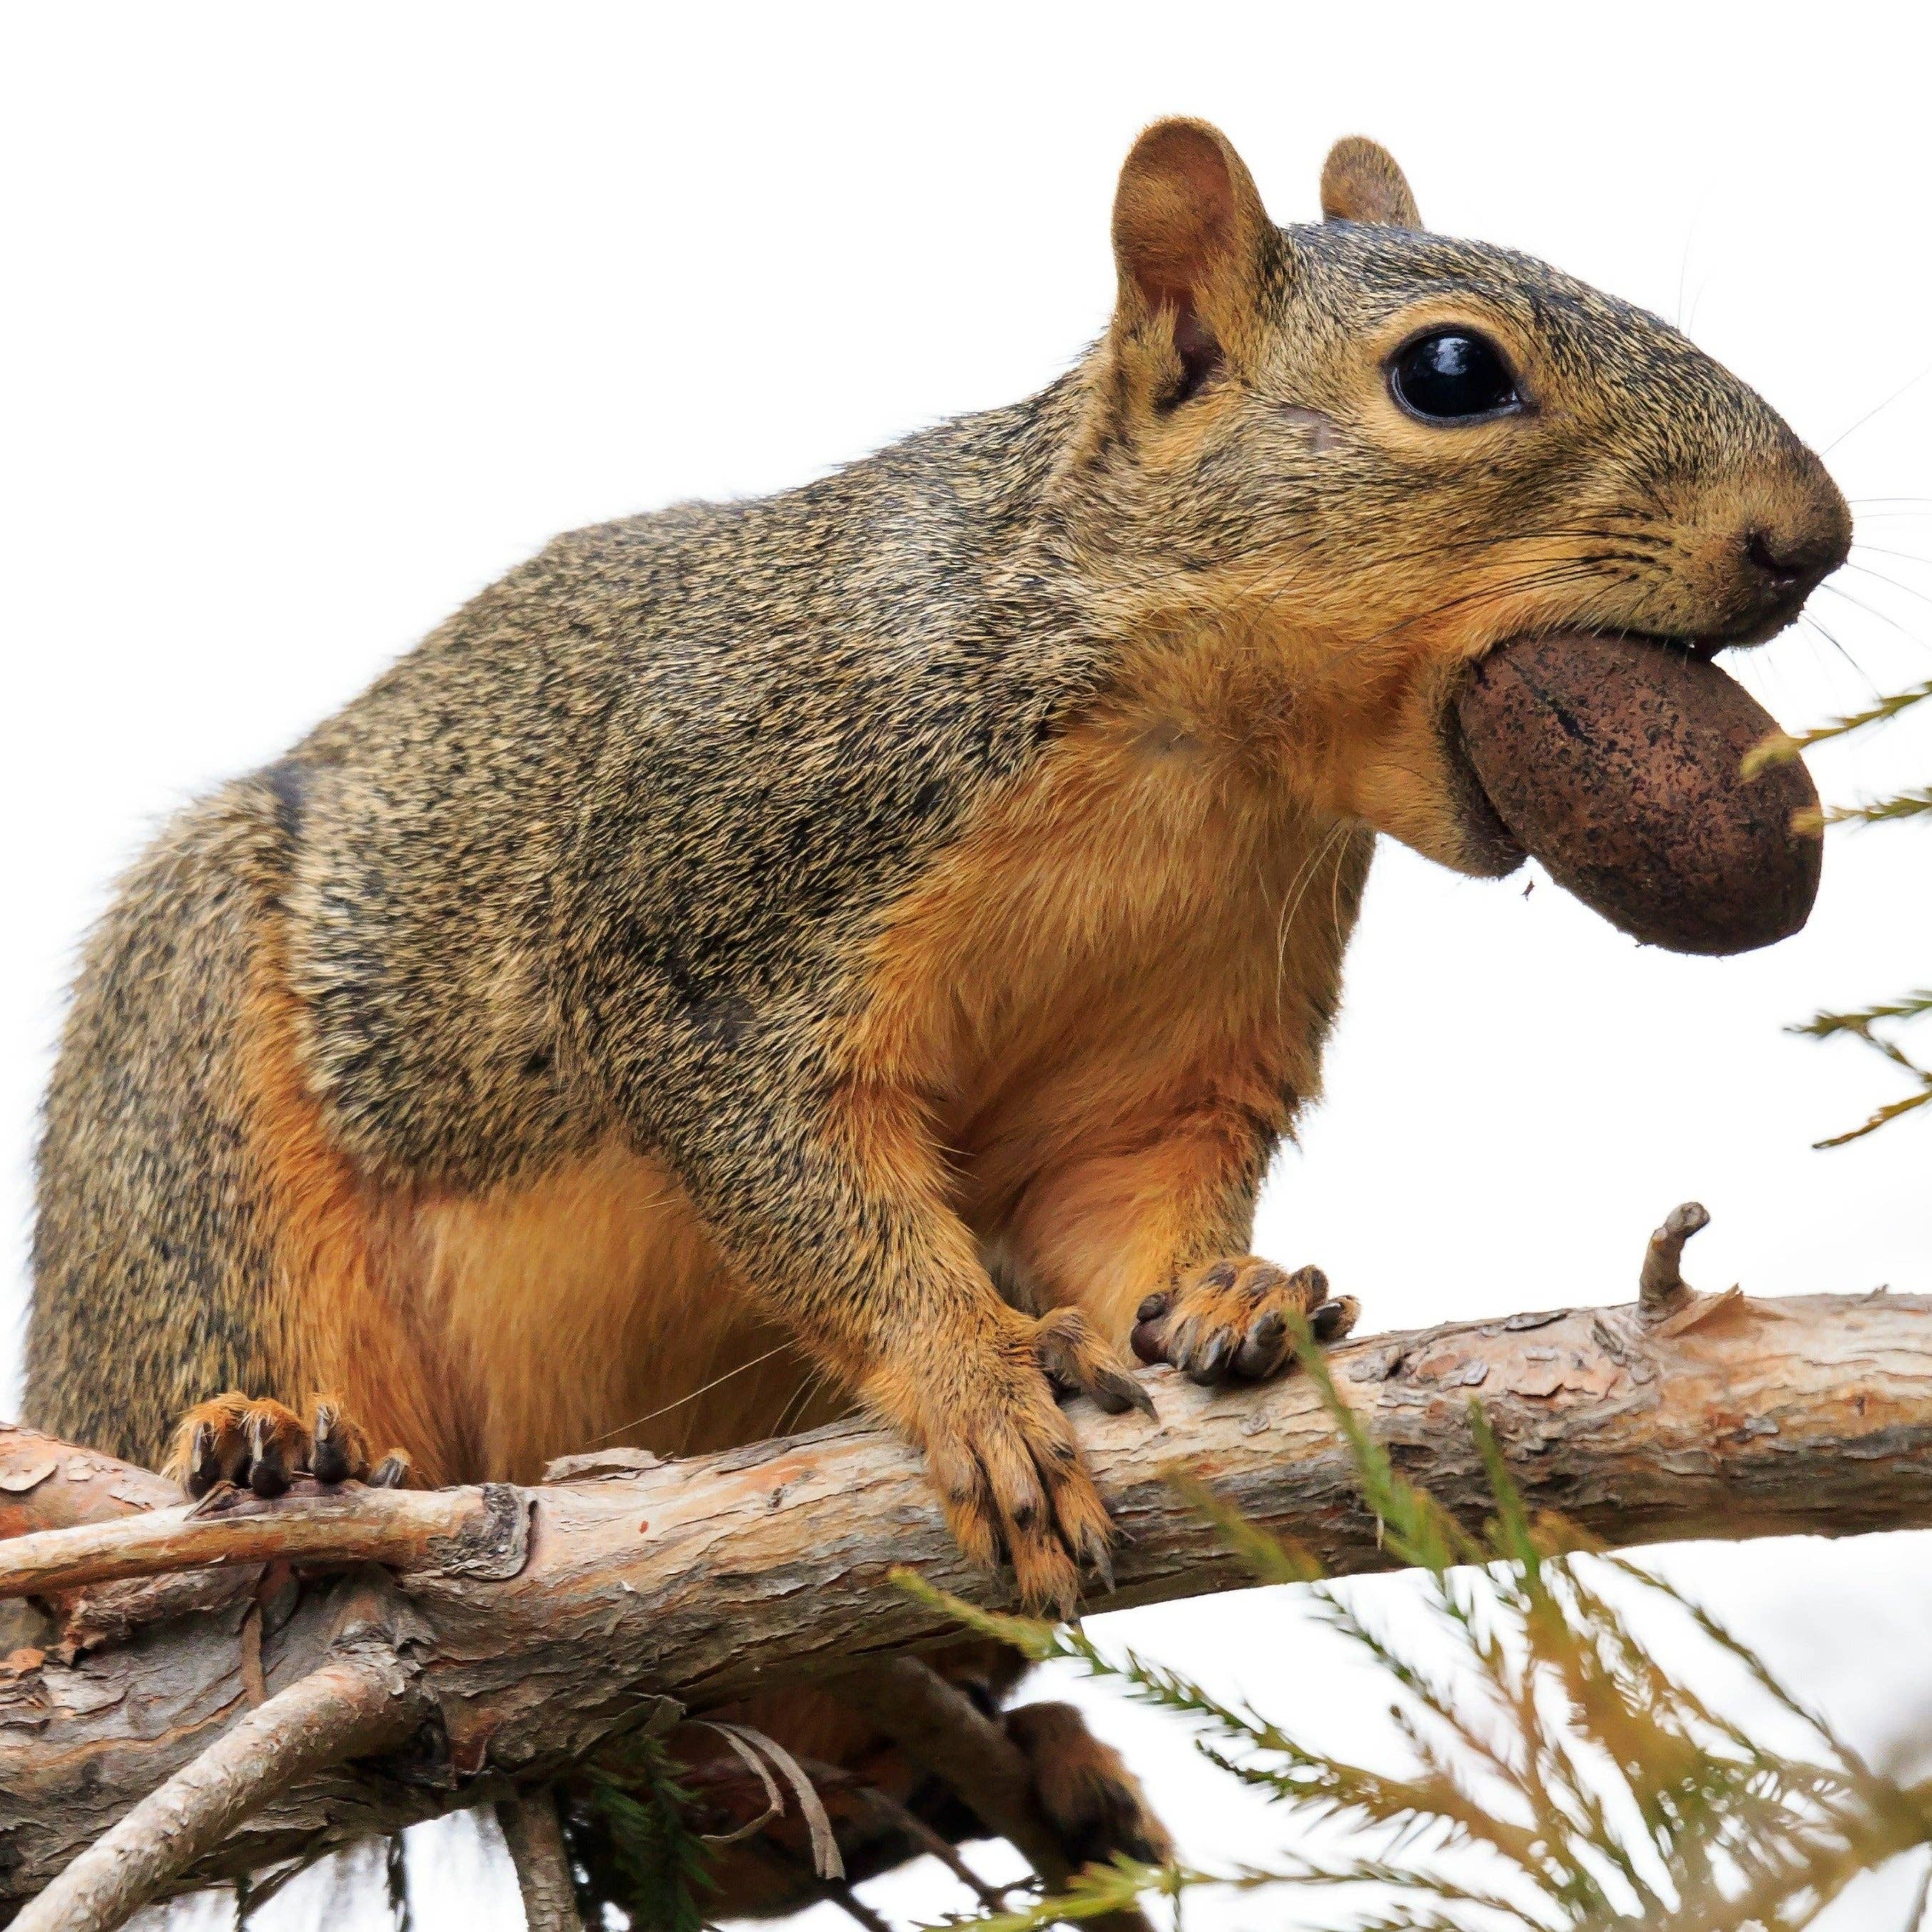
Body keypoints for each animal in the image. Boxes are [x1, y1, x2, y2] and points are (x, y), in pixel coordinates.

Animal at [25, 119, 1847, 1903]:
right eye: (1452, 372)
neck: (1191, 753)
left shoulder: (1185, 1037)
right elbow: (794, 1172)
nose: (1810, 535)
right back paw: (265, 1449)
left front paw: (1229, 1294)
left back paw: (984, 1766)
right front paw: (971, 1375)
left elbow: (1121, 1196)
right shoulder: (717, 914)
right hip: (188, 1091)